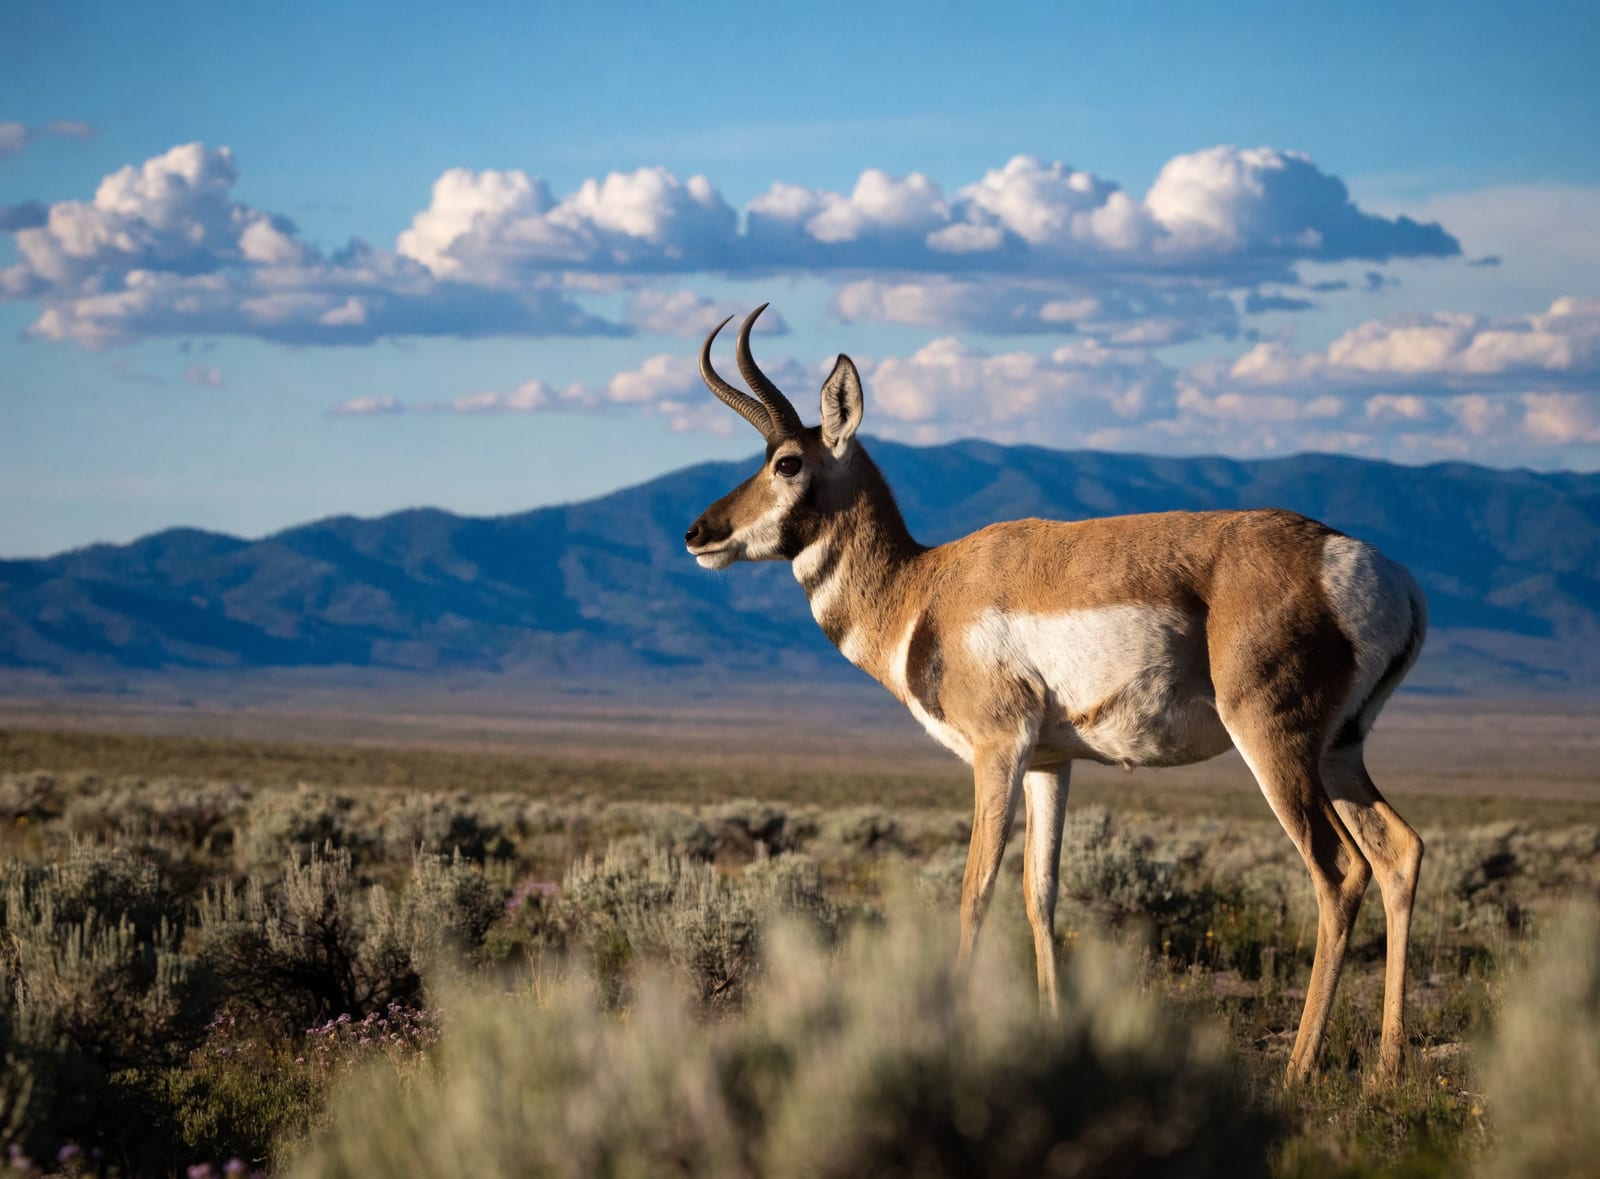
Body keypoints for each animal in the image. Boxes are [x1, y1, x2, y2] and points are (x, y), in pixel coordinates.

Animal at [684, 305, 1427, 1083]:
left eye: (787, 461)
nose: (698, 533)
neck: (925, 589)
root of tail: (1377, 571)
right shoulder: (1050, 763)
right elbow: (1039, 892)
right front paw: (1051, 1027)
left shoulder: (998, 750)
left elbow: (975, 889)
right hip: (1339, 753)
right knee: (1399, 852)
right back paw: (1387, 1064)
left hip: (1275, 748)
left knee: (1338, 870)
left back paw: (1298, 1066)